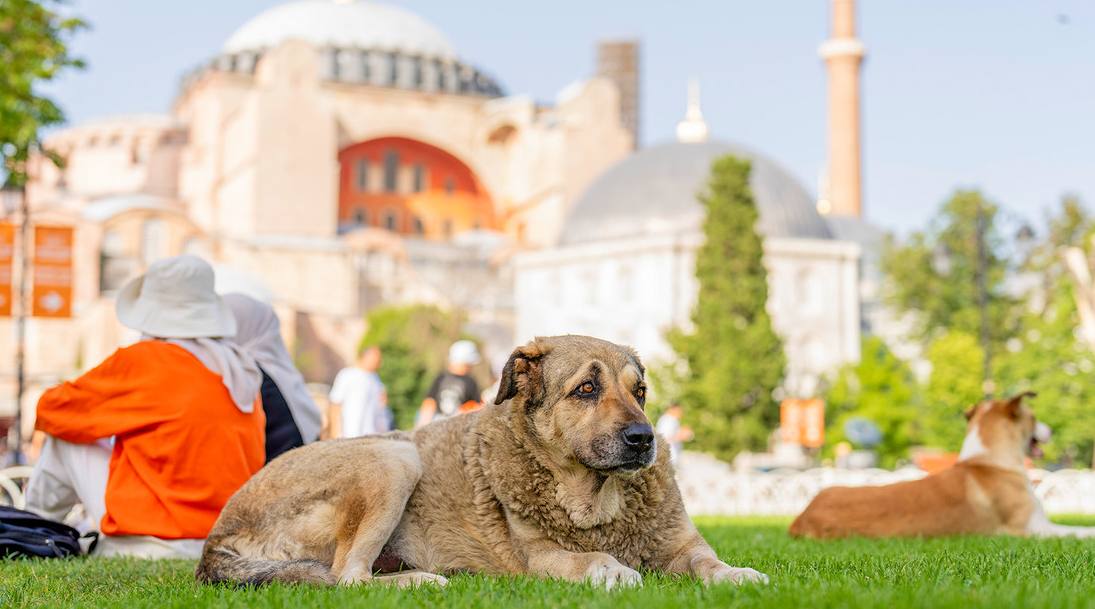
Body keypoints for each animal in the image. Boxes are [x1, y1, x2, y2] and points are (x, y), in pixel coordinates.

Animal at [192, 335, 766, 587]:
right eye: (586, 389)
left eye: (640, 392)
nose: (644, 438)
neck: (597, 502)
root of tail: (216, 537)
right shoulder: (543, 558)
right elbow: (592, 560)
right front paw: (611, 569)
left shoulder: (682, 546)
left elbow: (708, 562)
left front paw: (736, 573)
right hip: (394, 454)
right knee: (346, 577)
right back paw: (418, 584)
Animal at [792, 392, 1090, 541]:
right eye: (1035, 418)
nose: (1051, 430)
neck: (989, 459)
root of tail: (800, 517)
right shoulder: (1033, 529)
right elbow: (1083, 531)